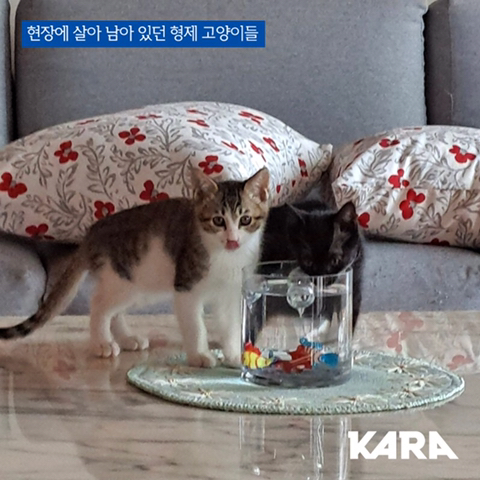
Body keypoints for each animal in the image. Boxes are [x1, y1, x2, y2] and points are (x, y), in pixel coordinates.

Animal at [0, 168, 271, 368]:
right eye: (218, 221)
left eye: (245, 219)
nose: (232, 240)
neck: (226, 257)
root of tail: (92, 233)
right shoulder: (186, 286)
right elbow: (195, 325)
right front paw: (199, 356)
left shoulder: (232, 292)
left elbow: (232, 324)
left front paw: (234, 355)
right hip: (125, 277)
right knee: (99, 306)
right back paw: (102, 343)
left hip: (140, 286)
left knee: (114, 310)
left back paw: (126, 338)